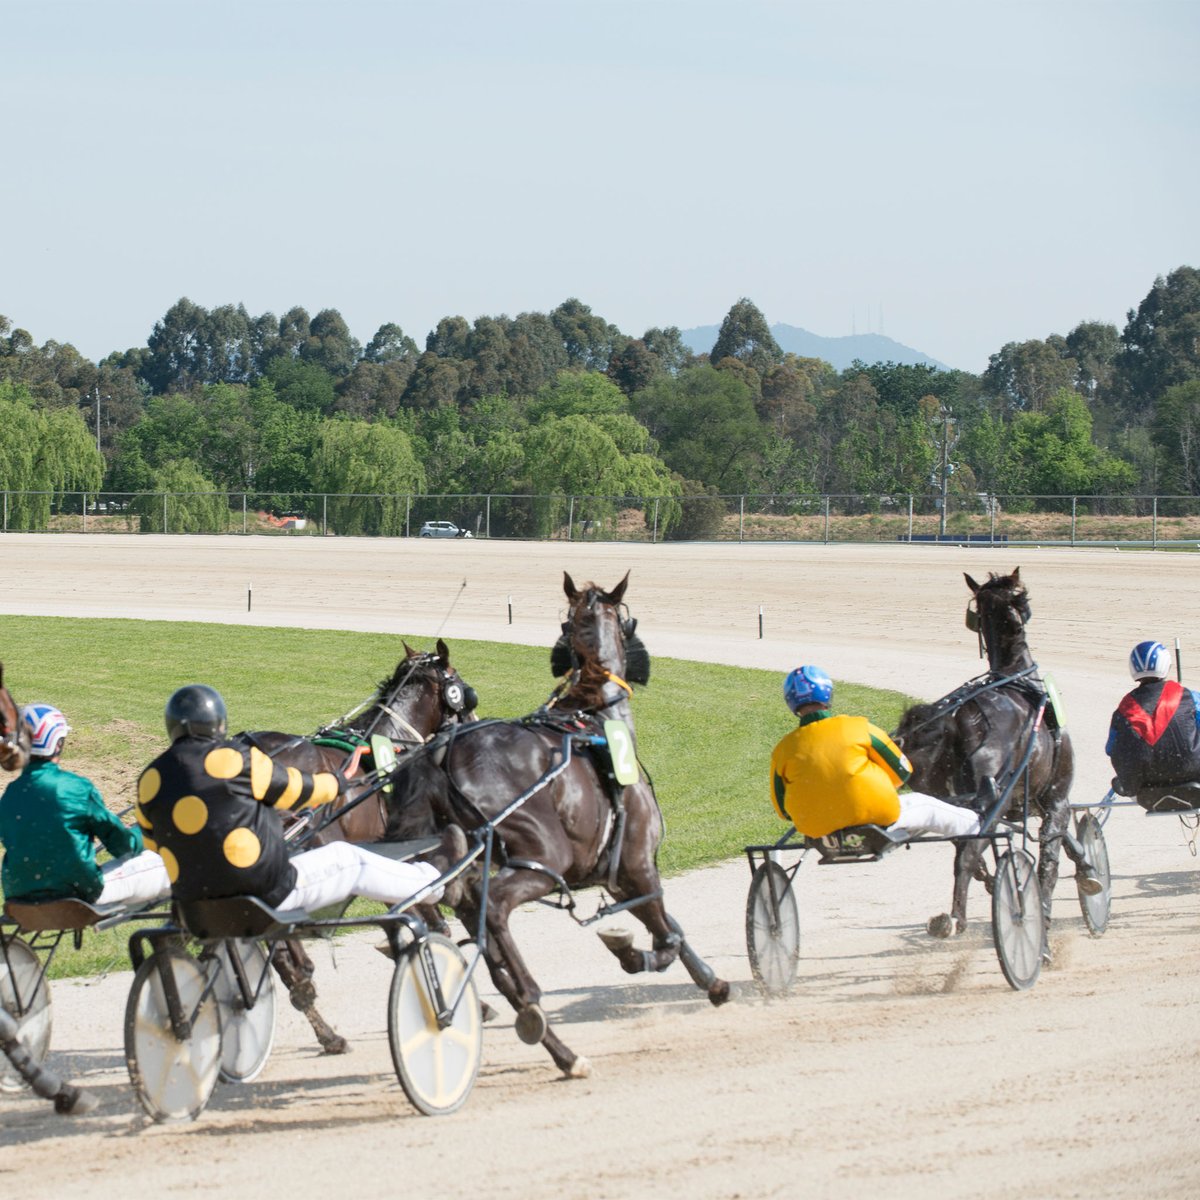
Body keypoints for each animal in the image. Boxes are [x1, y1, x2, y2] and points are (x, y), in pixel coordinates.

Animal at [236, 648, 475, 1051]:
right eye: (462, 686)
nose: (472, 719)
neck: (387, 750)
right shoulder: (402, 850)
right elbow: (433, 919)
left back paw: (323, 1027)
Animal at [398, 568, 724, 1080]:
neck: (594, 715)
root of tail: (441, 752)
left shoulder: (615, 874)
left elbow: (670, 925)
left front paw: (713, 981)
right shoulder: (637, 865)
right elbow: (667, 933)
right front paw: (633, 951)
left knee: (482, 937)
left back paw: (560, 1048)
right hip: (542, 859)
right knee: (493, 908)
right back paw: (533, 1002)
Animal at [897, 568, 1094, 945]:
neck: (1019, 680)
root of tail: (960, 718)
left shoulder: (1023, 804)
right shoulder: (1055, 797)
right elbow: (1051, 853)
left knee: (967, 849)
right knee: (968, 854)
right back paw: (957, 918)